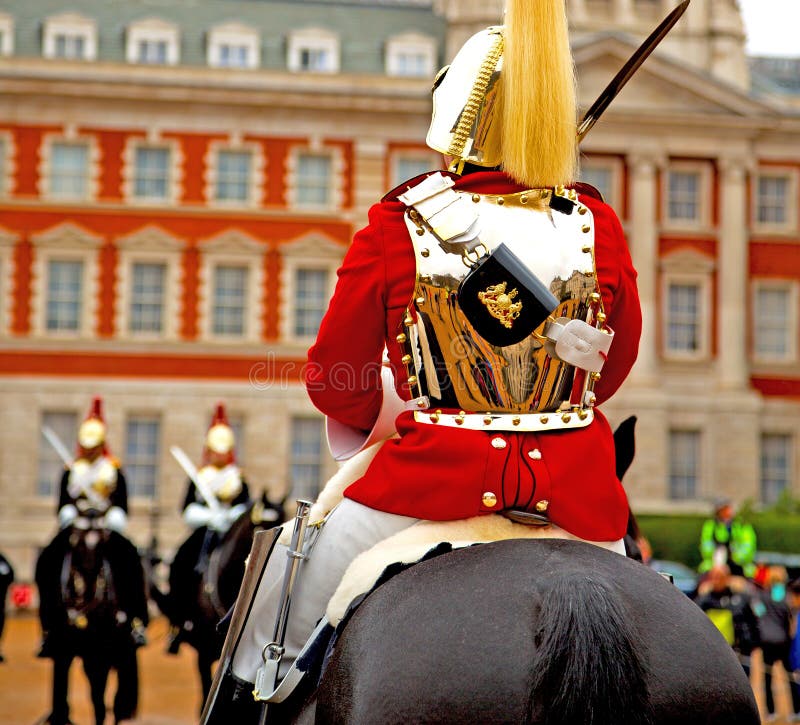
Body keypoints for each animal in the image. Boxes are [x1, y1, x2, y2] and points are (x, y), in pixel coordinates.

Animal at [33, 520, 147, 724]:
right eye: (77, 548)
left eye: (101, 548)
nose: (86, 600)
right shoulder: (68, 651)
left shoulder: (105, 655)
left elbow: (105, 701)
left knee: (116, 699)